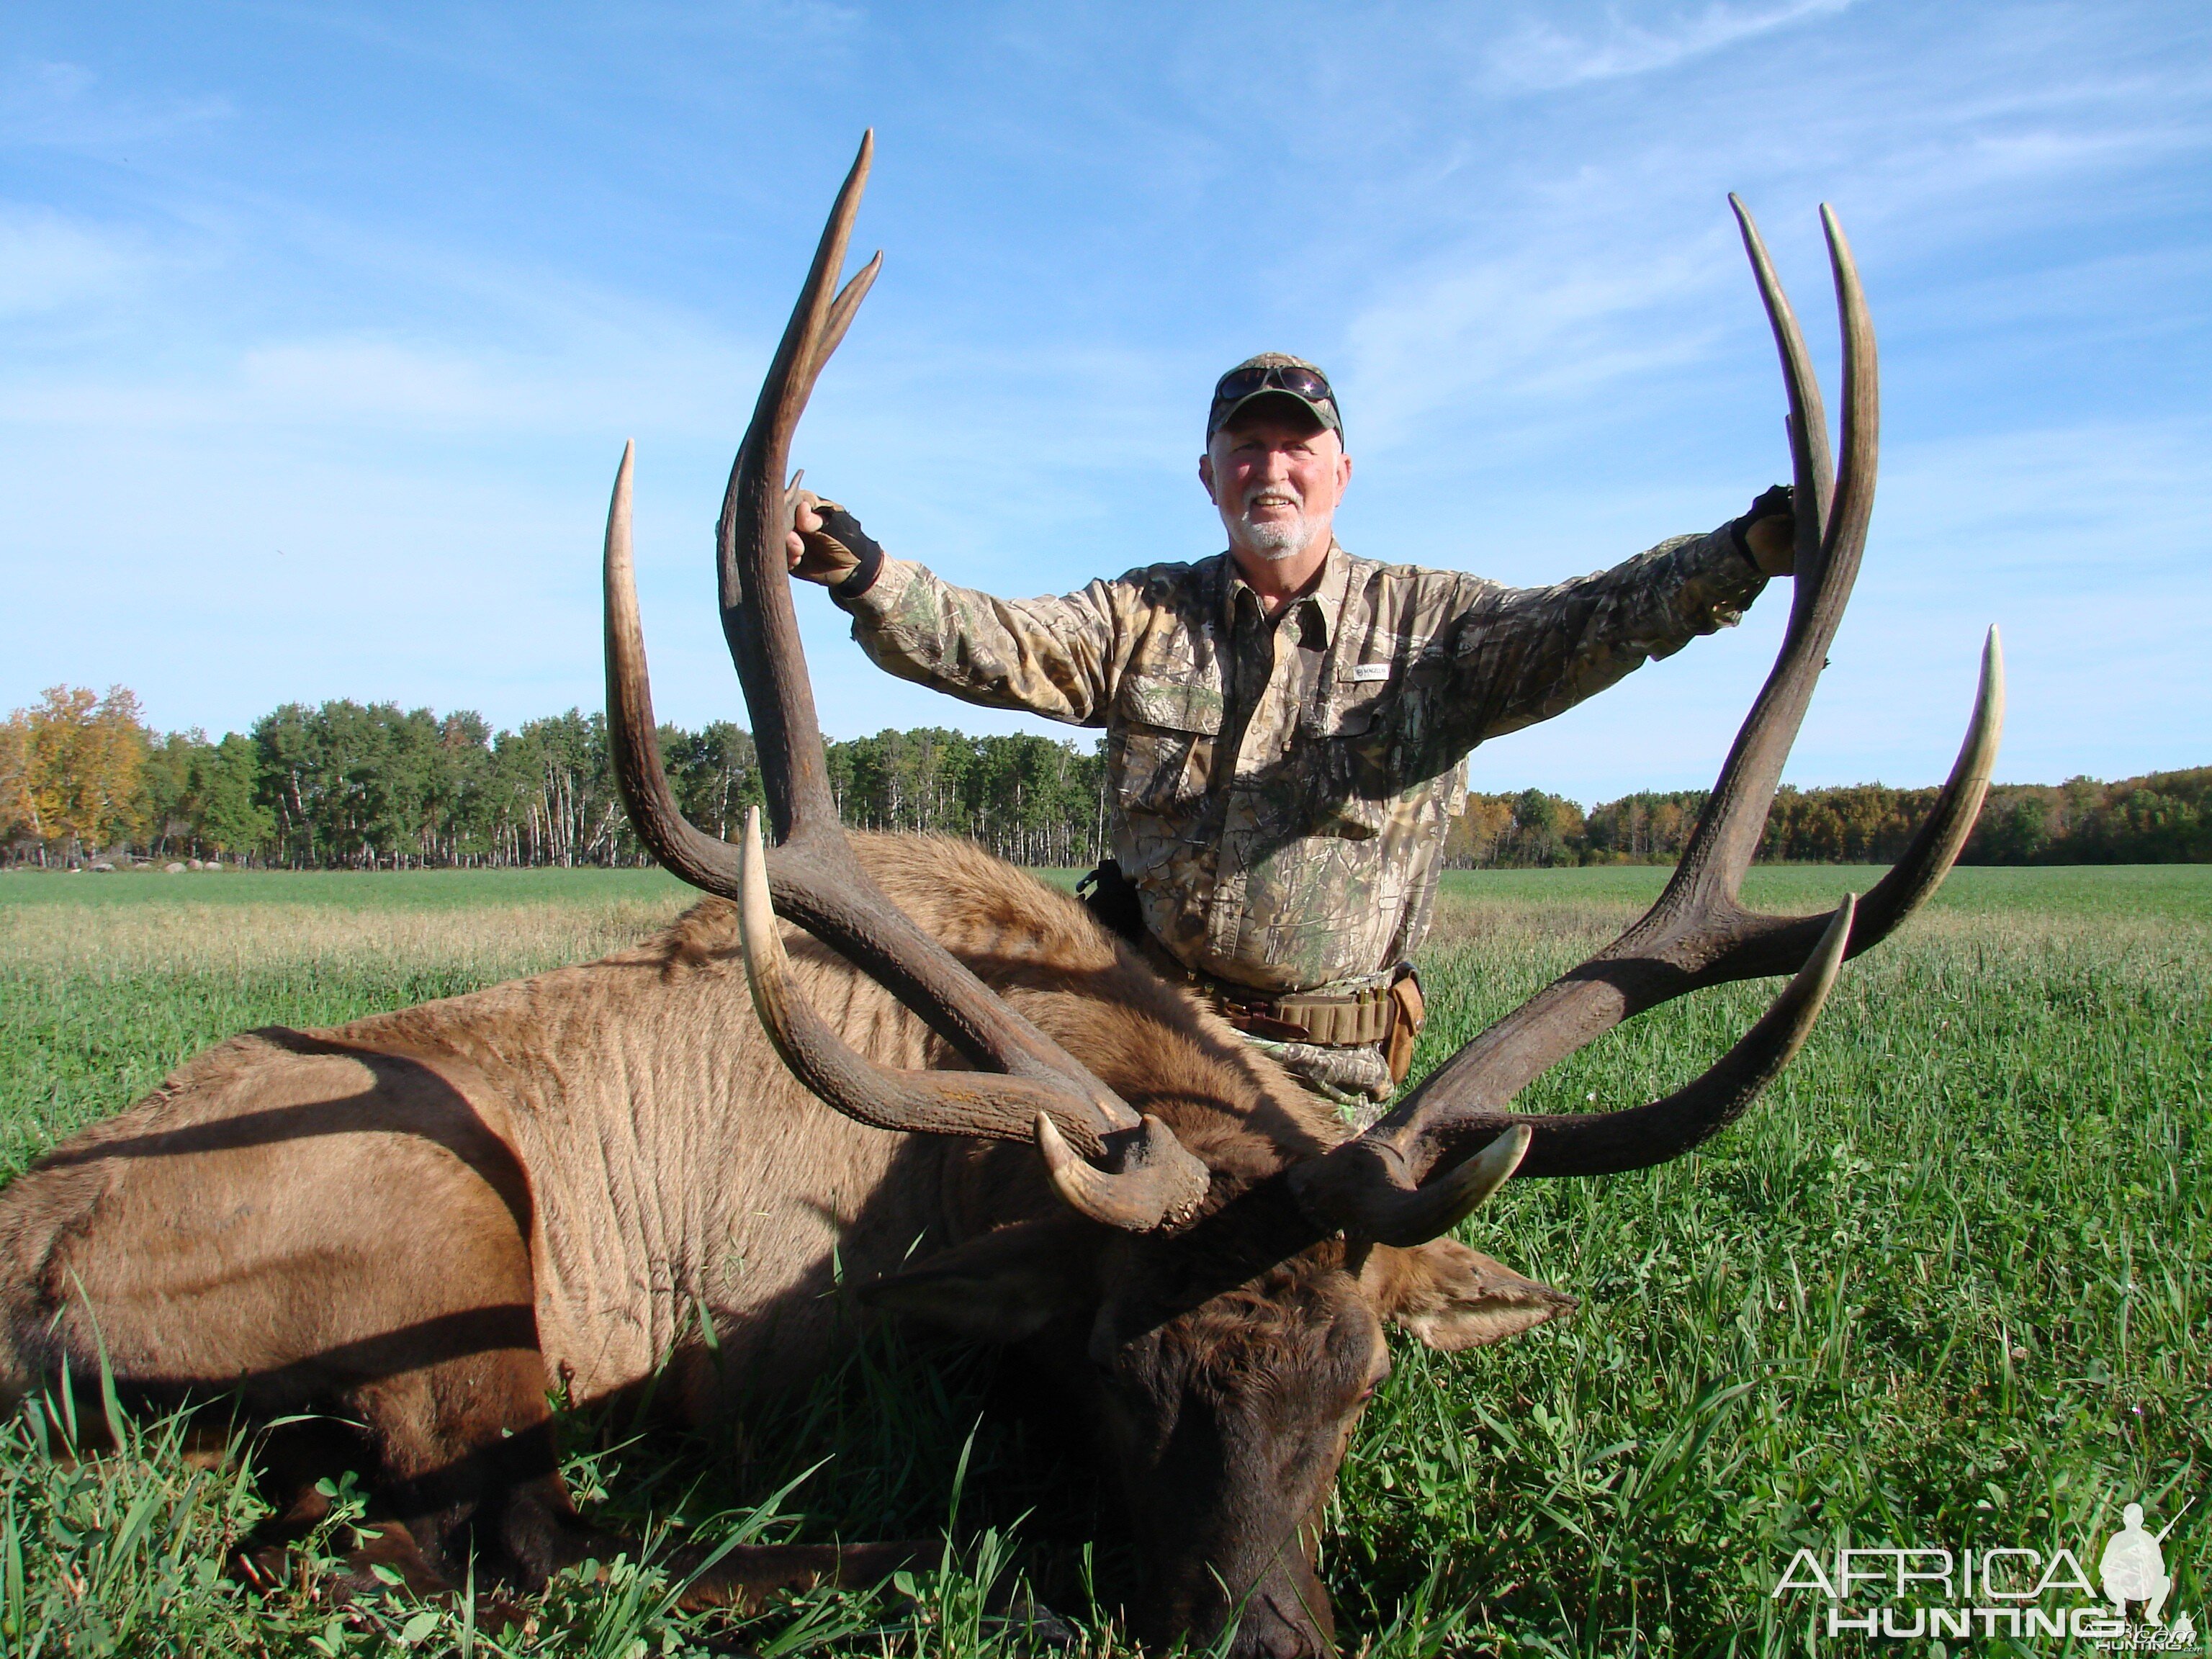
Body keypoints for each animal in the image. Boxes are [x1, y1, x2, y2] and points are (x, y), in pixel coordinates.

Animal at [0, 136, 2000, 1654]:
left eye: (1359, 1384)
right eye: (1120, 1377)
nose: (1261, 1635)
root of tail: (23, 1271)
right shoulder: (757, 1368)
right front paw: (1013, 1547)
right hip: (438, 1214)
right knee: (479, 1549)